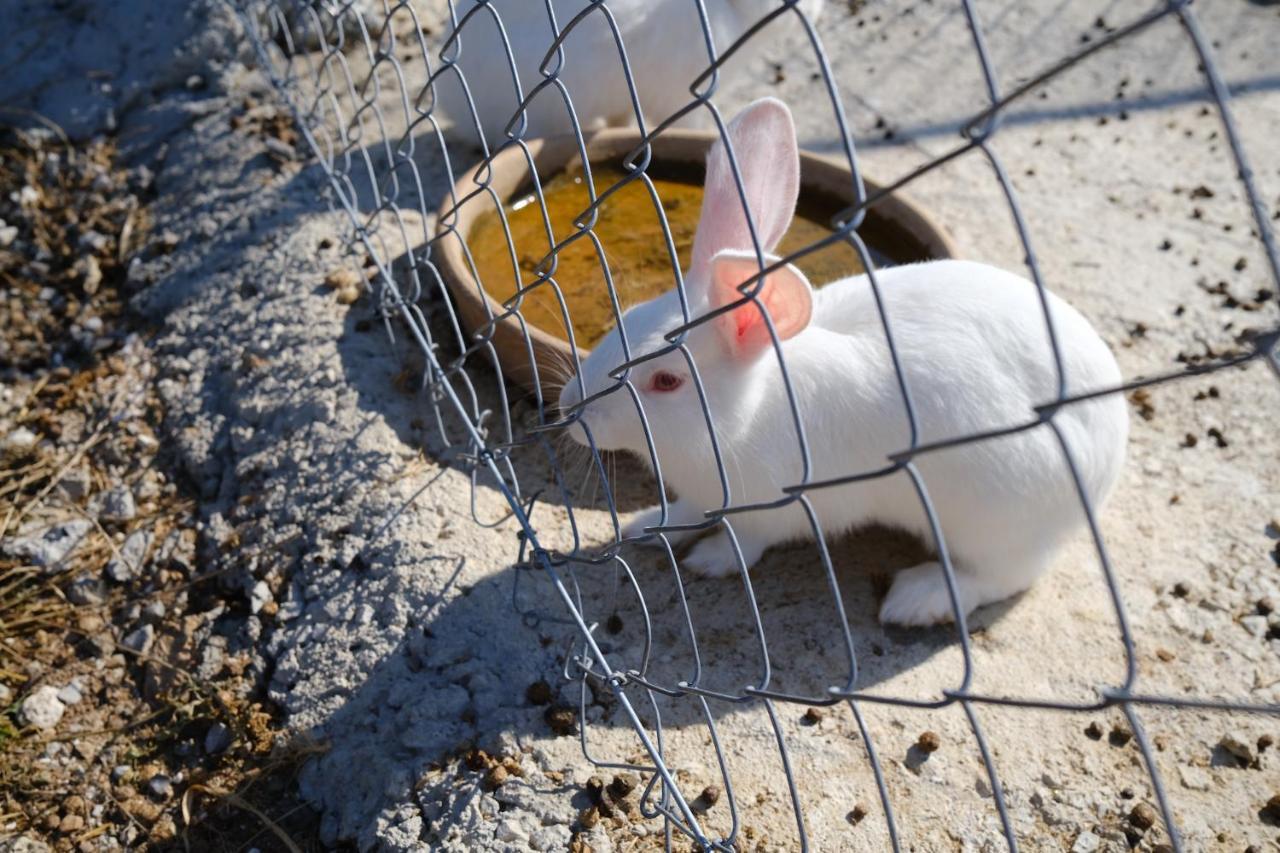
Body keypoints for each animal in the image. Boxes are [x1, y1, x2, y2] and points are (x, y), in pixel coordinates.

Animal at [560, 97, 1131, 625]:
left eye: (665, 380)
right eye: (625, 316)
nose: (568, 409)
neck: (746, 411)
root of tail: (1110, 456)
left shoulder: (771, 508)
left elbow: (745, 543)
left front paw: (709, 561)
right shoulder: (703, 495)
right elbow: (682, 512)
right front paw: (644, 526)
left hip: (993, 522)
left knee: (1001, 577)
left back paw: (917, 601)